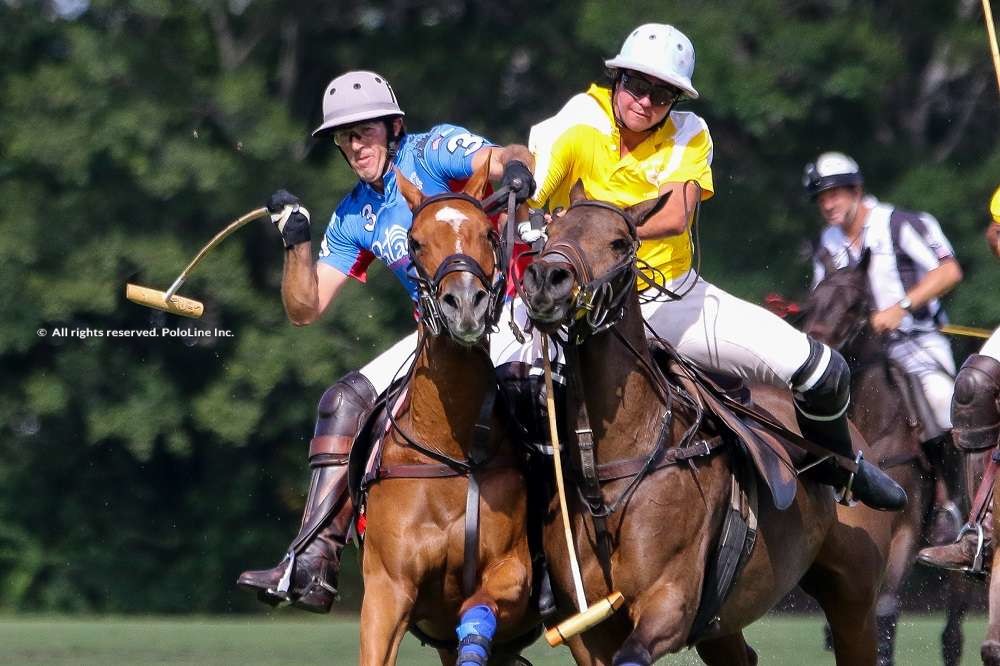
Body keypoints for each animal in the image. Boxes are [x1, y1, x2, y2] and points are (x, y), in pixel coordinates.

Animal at [356, 162, 536, 664]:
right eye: (415, 242)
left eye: (488, 233)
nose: (466, 304)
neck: (450, 452)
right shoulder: (386, 588)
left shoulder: (515, 569)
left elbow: (478, 607)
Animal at [520, 183, 896, 664]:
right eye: (550, 233)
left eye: (619, 243)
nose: (547, 280)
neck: (612, 464)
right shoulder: (589, 630)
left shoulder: (669, 602)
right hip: (724, 619)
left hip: (854, 598)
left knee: (822, 368)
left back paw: (868, 479)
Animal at [800, 249, 972, 664]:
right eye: (811, 301)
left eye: (856, 304)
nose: (816, 348)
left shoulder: (905, 530)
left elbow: (886, 609)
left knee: (953, 628)